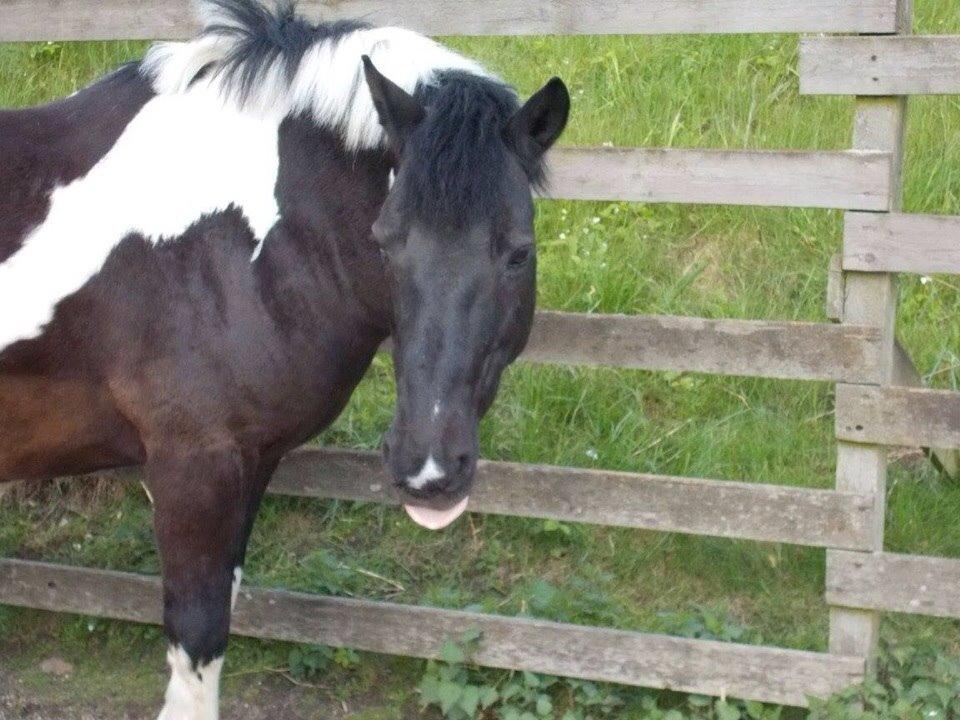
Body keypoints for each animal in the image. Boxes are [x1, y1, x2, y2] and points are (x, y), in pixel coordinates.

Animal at [0, 0, 569, 717]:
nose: (429, 472)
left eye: (517, 252)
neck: (231, 249)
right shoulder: (192, 467)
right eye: (385, 242)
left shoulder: (252, 463)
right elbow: (197, 635)